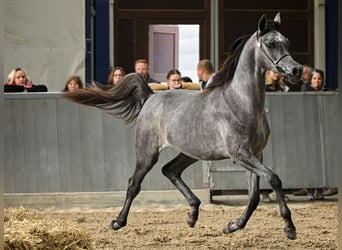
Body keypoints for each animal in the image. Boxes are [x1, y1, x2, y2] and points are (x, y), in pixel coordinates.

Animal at [64, 12, 302, 239]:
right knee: (134, 183)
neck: (240, 102)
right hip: (147, 152)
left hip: (191, 152)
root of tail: (151, 97)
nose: (296, 70)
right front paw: (289, 228)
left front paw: (232, 226)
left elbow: (253, 197)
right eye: (270, 44)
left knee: (170, 170)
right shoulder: (240, 154)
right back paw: (118, 222)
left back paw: (192, 214)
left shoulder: (255, 154)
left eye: (287, 41)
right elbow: (274, 179)